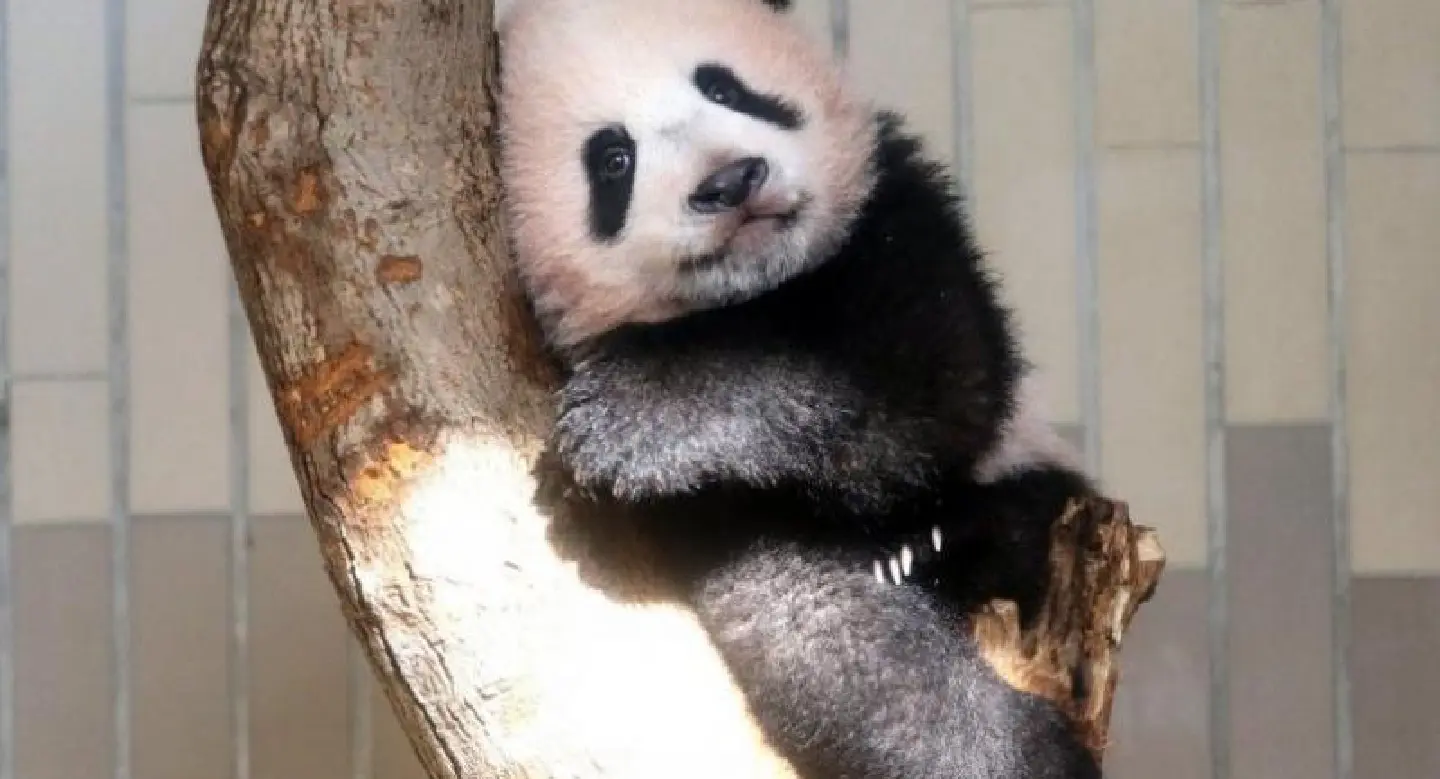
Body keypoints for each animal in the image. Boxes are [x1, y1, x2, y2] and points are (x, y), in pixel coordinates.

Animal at [498, 0, 1102, 777]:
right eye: (612, 159)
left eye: (726, 87)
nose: (731, 181)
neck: (757, 291)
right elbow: (830, 636)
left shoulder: (896, 210)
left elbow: (930, 371)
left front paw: (632, 416)